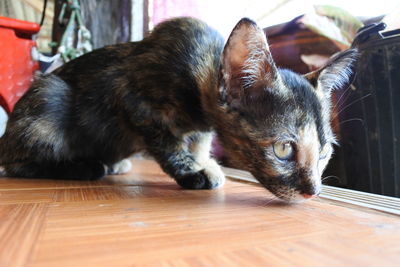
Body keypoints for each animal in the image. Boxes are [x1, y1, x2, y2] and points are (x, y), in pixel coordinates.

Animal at [0, 17, 356, 203]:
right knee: (15, 163)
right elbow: (168, 145)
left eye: (325, 153)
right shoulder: (135, 102)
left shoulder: (200, 128)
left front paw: (202, 162)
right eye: (283, 149)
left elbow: (197, 143)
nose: (314, 191)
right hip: (50, 95)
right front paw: (193, 172)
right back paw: (84, 167)